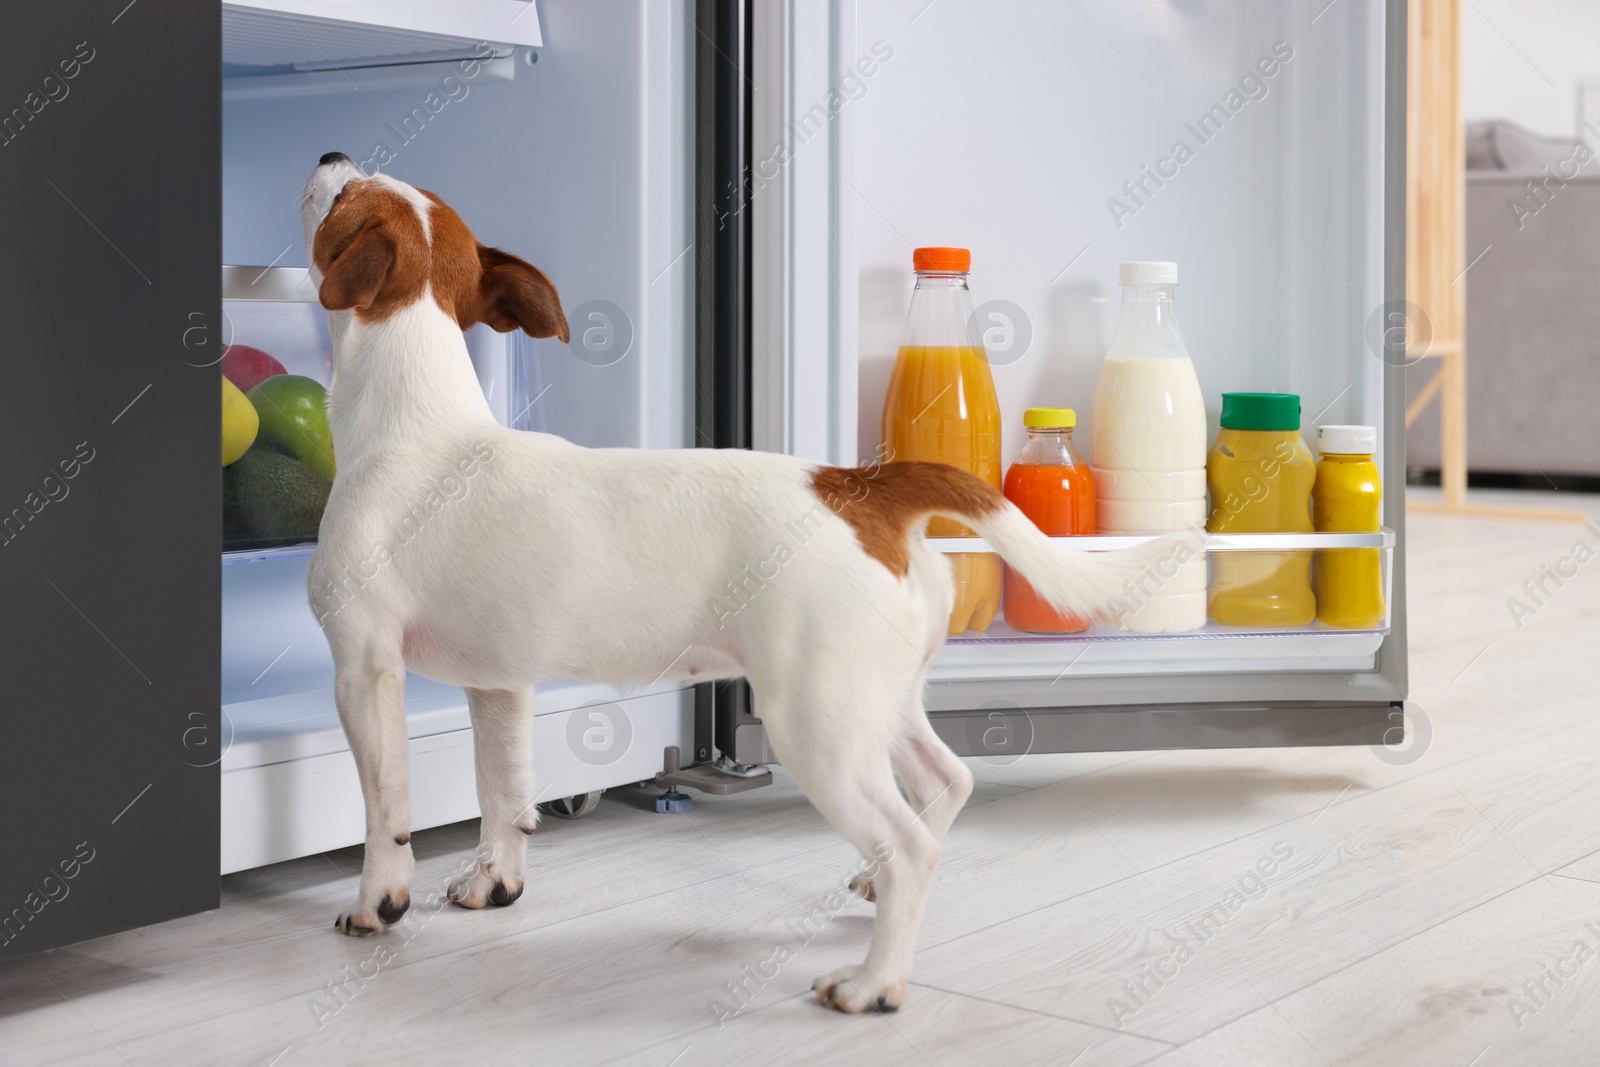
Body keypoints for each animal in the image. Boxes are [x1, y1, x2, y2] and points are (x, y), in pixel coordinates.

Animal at [302, 150, 1177, 1011]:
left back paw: (873, 981)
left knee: (910, 844)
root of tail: (859, 487)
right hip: (874, 703)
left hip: (816, 727)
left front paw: (378, 901)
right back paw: (876, 891)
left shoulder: (364, 670)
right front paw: (496, 882)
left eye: (344, 193)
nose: (328, 152)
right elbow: (502, 794)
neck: (416, 418)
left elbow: (385, 808)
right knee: (945, 780)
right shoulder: (501, 687)